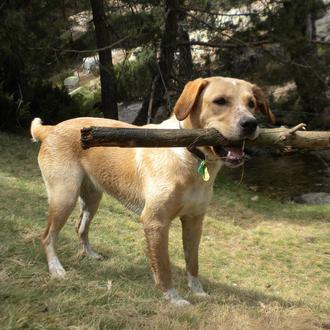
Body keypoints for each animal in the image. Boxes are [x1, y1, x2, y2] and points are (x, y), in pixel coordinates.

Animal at [31, 76, 274, 306]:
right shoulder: (155, 222)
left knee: (80, 228)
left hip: (92, 198)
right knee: (47, 236)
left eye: (252, 104)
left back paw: (91, 255)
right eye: (220, 101)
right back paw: (56, 269)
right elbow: (163, 266)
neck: (190, 157)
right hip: (65, 196)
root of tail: (50, 129)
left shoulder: (194, 220)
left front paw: (199, 292)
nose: (251, 123)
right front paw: (173, 299)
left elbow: (193, 262)